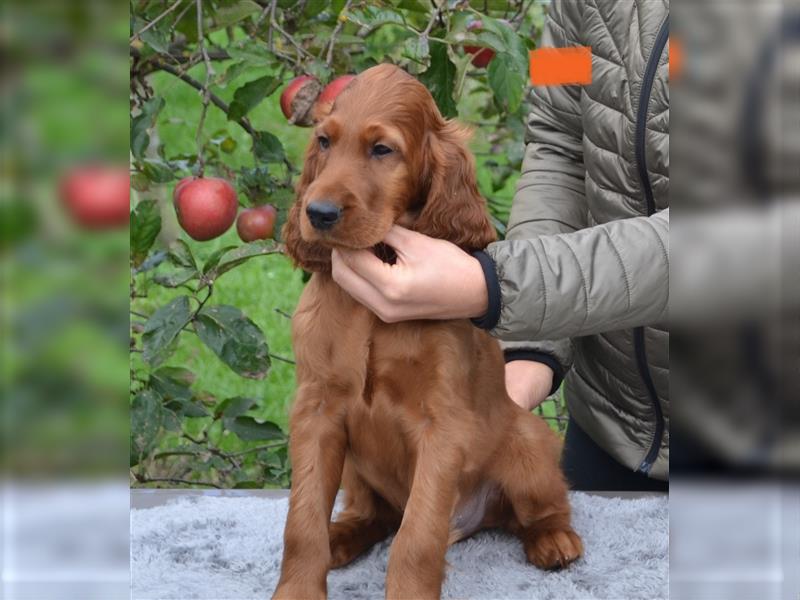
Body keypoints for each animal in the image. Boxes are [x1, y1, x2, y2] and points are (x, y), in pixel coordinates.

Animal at [276, 63, 580, 596]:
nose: (318, 214)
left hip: (529, 443)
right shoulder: (317, 411)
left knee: (539, 509)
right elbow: (302, 523)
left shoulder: (442, 425)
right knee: (375, 516)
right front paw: (296, 589)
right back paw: (342, 536)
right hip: (355, 469)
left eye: (382, 149)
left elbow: (417, 538)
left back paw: (554, 541)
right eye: (325, 141)